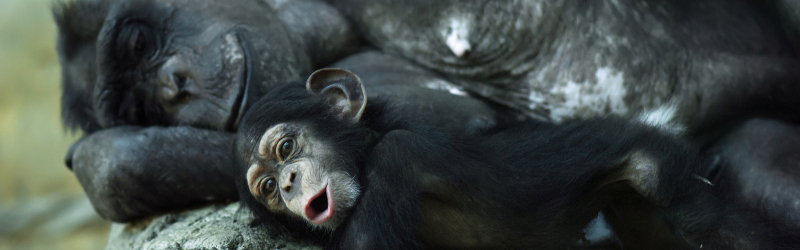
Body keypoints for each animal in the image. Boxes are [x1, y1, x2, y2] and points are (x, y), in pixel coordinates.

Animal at [233, 69, 792, 250]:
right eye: (267, 188)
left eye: (286, 149)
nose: (288, 183)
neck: (366, 156)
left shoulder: (395, 159)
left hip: (654, 155)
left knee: (706, 220)